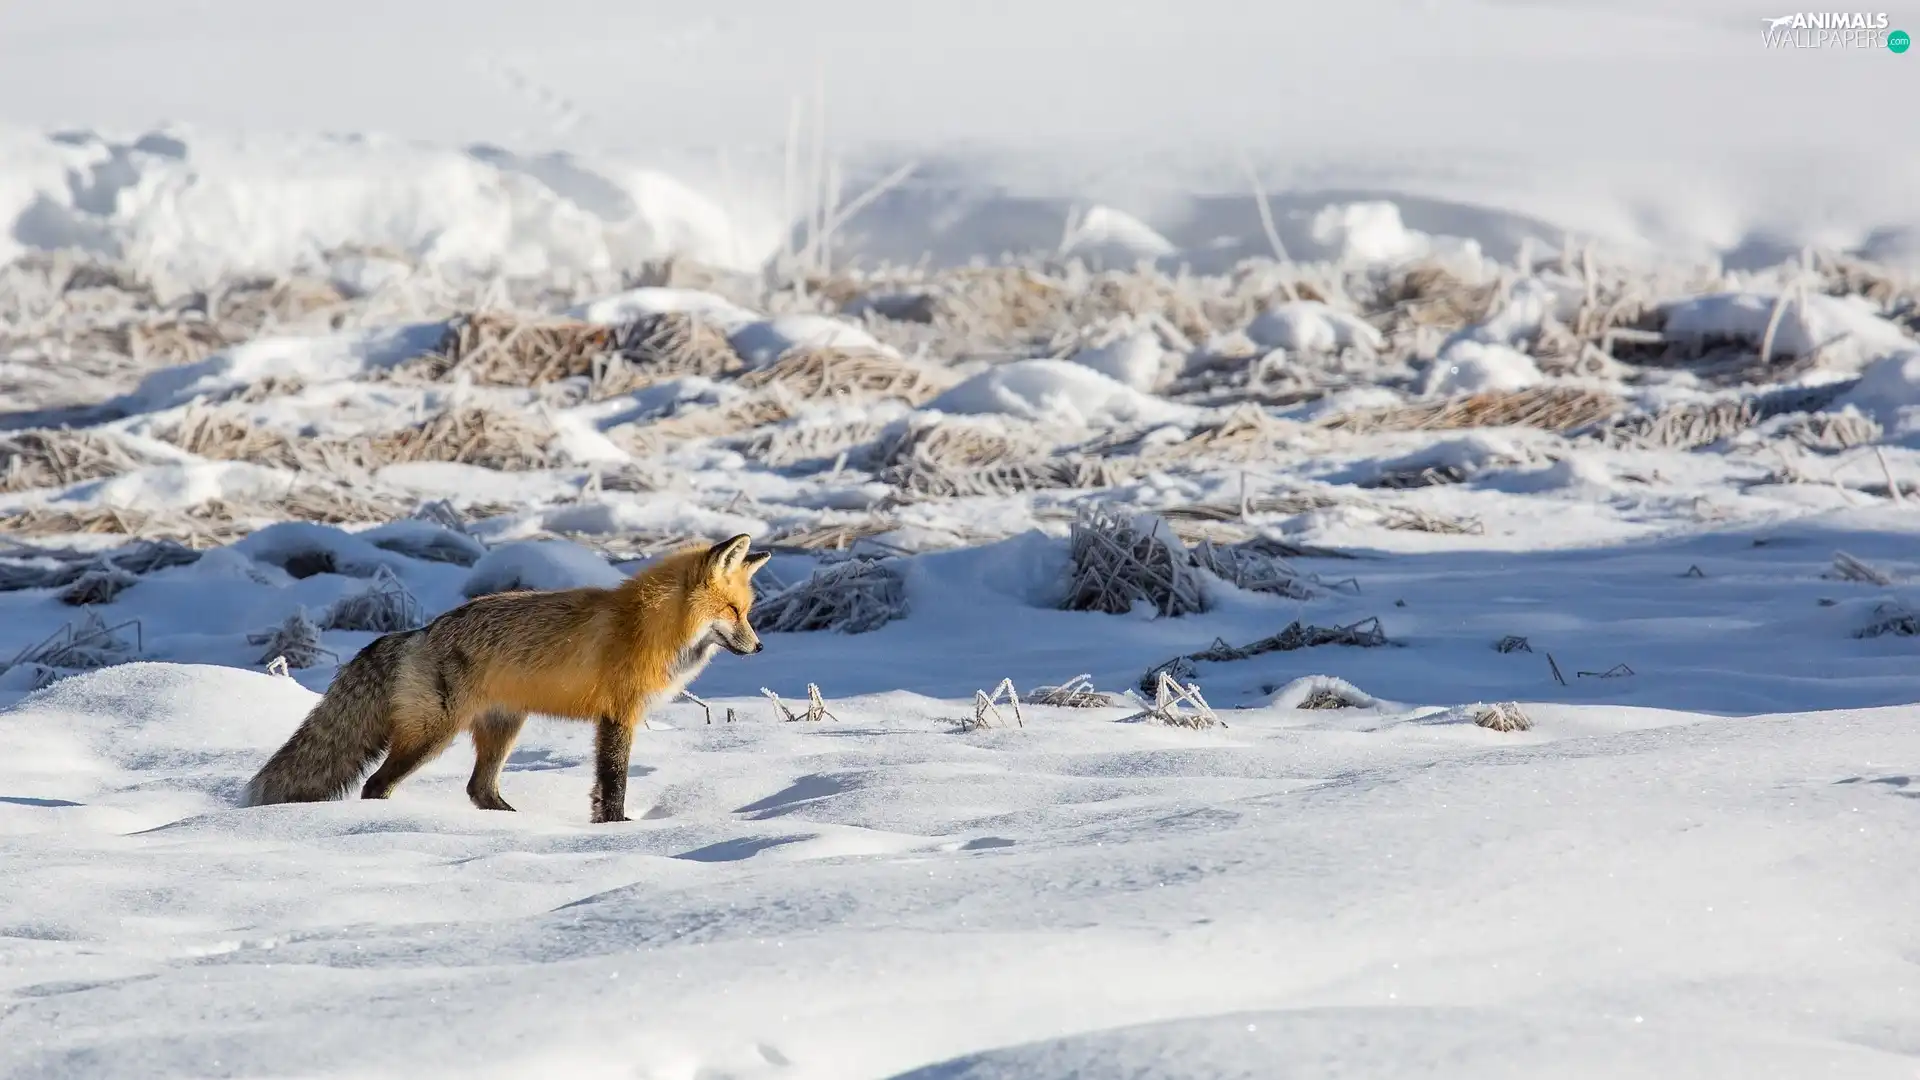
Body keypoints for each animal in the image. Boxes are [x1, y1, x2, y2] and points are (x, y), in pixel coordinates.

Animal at [243, 534, 768, 818]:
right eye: (733, 611)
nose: (760, 648)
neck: (648, 626)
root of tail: (420, 631)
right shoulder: (618, 716)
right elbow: (613, 783)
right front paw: (617, 828)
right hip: (433, 735)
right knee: (376, 784)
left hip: (502, 729)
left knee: (478, 789)